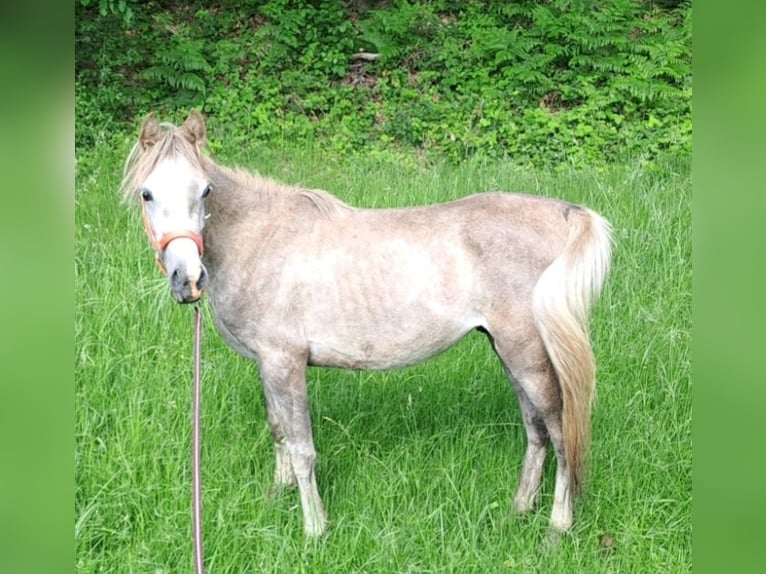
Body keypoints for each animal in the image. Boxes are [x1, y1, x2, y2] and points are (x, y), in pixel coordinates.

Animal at [123, 112, 616, 540]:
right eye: (147, 194)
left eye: (205, 190)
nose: (188, 279)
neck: (259, 238)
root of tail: (563, 213)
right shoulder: (268, 364)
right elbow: (279, 431)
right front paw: (275, 498)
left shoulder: (285, 362)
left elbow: (302, 447)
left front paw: (314, 528)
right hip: (508, 351)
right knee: (536, 429)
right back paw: (519, 508)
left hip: (526, 353)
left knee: (560, 430)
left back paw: (557, 526)